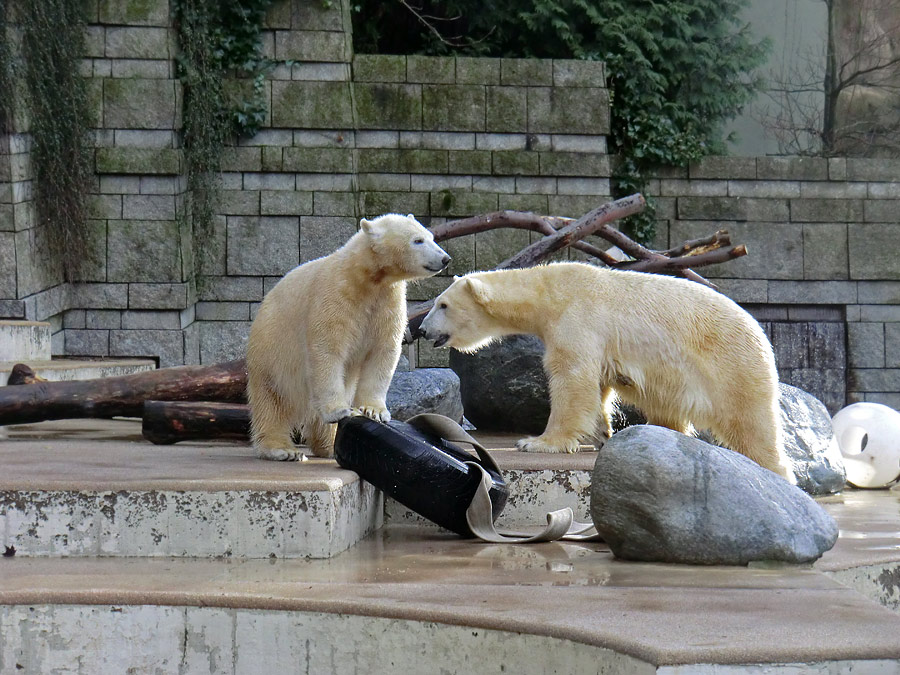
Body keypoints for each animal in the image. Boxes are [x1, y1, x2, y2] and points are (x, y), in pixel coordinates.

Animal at [246, 214, 450, 462]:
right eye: (418, 240)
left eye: (431, 237)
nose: (445, 259)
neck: (366, 277)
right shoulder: (335, 296)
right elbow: (328, 350)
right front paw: (339, 410)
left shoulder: (387, 303)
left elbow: (383, 351)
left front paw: (373, 411)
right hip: (272, 349)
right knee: (272, 400)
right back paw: (283, 449)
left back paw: (328, 444)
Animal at [422, 262, 796, 480]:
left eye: (443, 304)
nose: (422, 330)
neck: (550, 292)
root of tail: (761, 333)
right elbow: (598, 386)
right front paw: (602, 433)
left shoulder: (578, 319)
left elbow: (572, 378)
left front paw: (537, 442)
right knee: (669, 413)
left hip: (731, 367)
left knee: (752, 425)